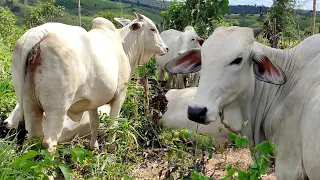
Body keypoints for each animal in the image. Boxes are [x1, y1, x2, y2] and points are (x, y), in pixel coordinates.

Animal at [11, 11, 169, 151]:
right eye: (153, 29)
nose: (166, 48)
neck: (124, 45)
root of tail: (40, 33)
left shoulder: (93, 100)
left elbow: (95, 123)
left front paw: (94, 147)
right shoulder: (120, 94)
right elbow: (113, 124)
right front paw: (111, 148)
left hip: (29, 103)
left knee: (34, 136)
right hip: (57, 108)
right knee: (49, 143)